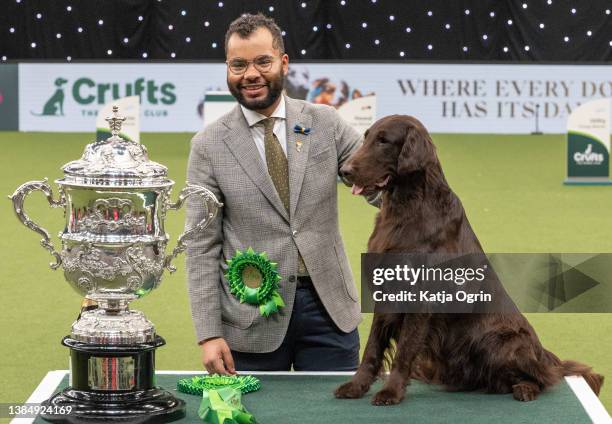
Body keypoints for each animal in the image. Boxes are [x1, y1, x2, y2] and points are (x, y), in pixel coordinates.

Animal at [338, 115, 604, 404]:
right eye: (366, 137)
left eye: (384, 141)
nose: (344, 171)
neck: (407, 207)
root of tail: (541, 352)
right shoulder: (385, 290)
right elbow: (372, 347)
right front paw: (356, 385)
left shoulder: (421, 297)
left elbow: (405, 349)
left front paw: (391, 391)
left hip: (501, 341)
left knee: (544, 376)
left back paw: (525, 388)